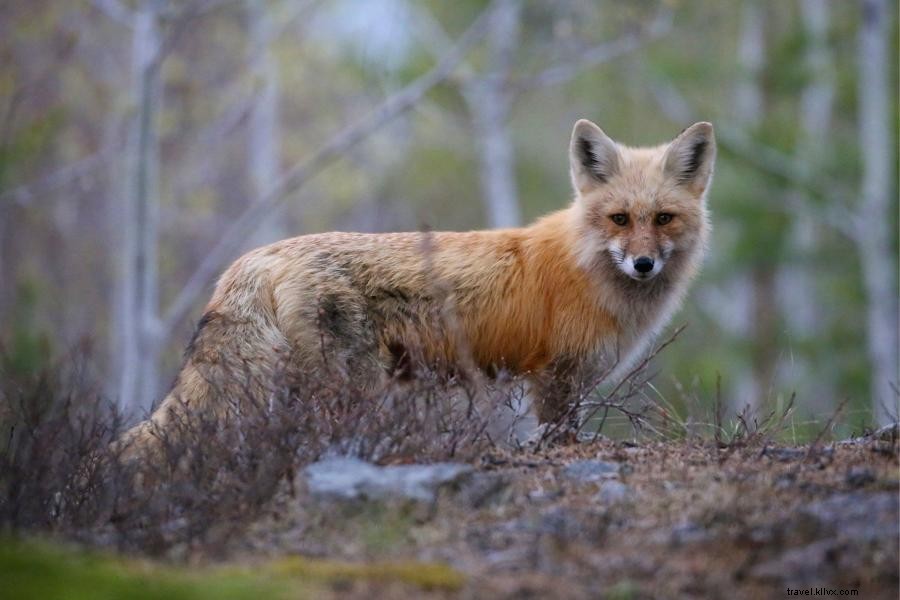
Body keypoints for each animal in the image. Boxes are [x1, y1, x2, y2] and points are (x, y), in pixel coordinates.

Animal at [119, 119, 712, 450]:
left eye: (663, 219)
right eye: (619, 220)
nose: (643, 265)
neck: (585, 265)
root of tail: (259, 255)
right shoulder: (556, 378)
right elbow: (558, 437)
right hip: (351, 386)